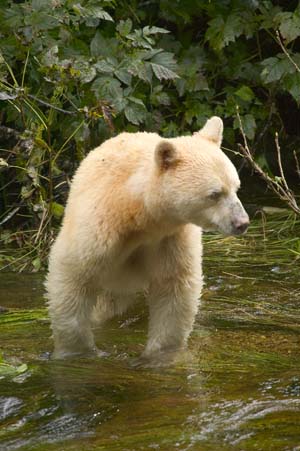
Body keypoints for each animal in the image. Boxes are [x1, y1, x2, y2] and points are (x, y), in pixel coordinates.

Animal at [46, 116, 248, 360]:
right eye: (215, 194)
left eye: (236, 187)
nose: (242, 223)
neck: (137, 213)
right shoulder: (99, 229)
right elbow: (73, 276)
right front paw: (77, 352)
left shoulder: (170, 238)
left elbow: (174, 288)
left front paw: (160, 356)